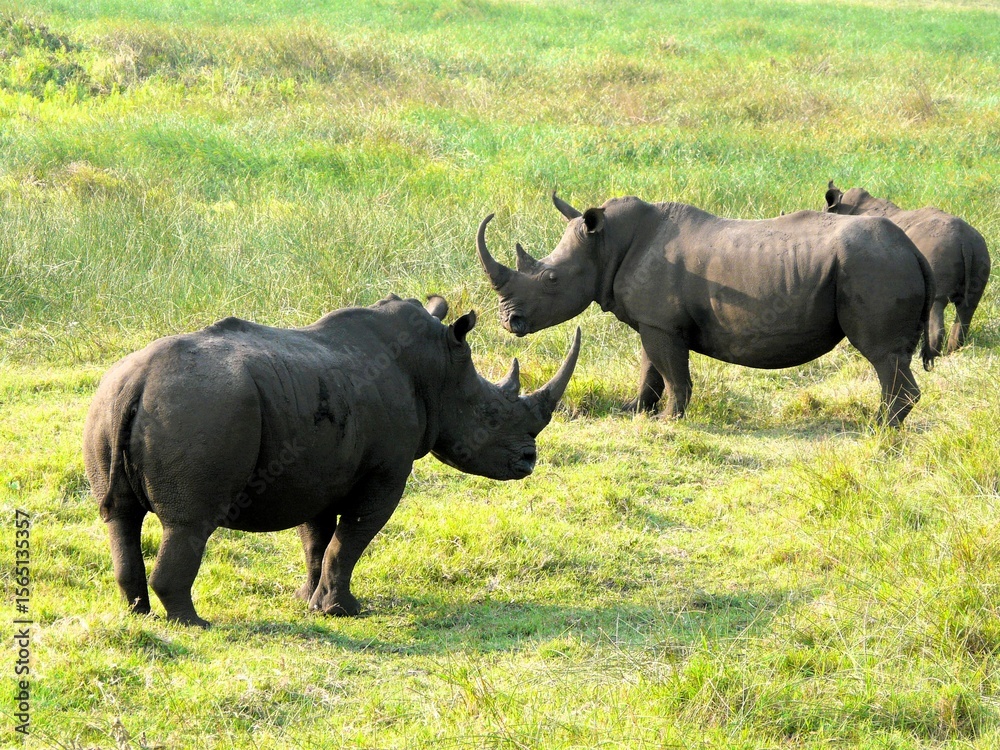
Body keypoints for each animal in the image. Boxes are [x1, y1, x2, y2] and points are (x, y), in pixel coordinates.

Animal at [83, 295, 581, 627]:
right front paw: (345, 611)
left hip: (108, 402)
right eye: (491, 415)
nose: (529, 461)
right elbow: (351, 539)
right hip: (198, 407)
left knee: (119, 517)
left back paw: (139, 615)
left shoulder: (315, 466)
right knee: (190, 523)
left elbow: (317, 541)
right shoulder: (385, 473)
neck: (436, 370)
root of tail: (138, 382)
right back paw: (194, 623)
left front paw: (309, 601)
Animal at [477, 193, 935, 426]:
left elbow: (673, 374)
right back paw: (881, 425)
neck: (605, 245)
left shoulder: (662, 324)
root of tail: (913, 249)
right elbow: (650, 370)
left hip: (873, 265)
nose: (508, 320)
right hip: (880, 262)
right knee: (893, 358)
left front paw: (669, 424)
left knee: (881, 354)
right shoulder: (654, 321)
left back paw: (877, 430)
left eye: (552, 280)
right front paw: (635, 413)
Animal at [824, 181, 991, 357]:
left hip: (940, 250)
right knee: (968, 306)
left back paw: (931, 354)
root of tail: (964, 241)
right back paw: (953, 351)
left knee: (937, 301)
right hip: (980, 251)